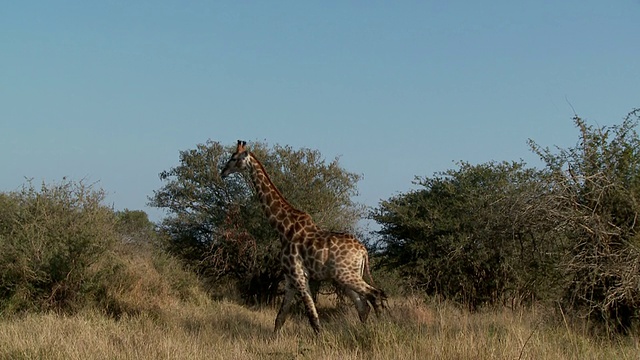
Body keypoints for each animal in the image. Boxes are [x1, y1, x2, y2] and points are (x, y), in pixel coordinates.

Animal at [222, 139, 388, 334]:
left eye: (234, 158)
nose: (223, 172)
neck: (283, 227)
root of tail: (363, 251)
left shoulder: (299, 276)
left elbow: (312, 317)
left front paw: (320, 339)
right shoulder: (289, 279)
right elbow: (280, 318)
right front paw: (273, 339)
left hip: (345, 275)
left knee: (375, 295)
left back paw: (381, 330)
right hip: (346, 277)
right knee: (363, 305)